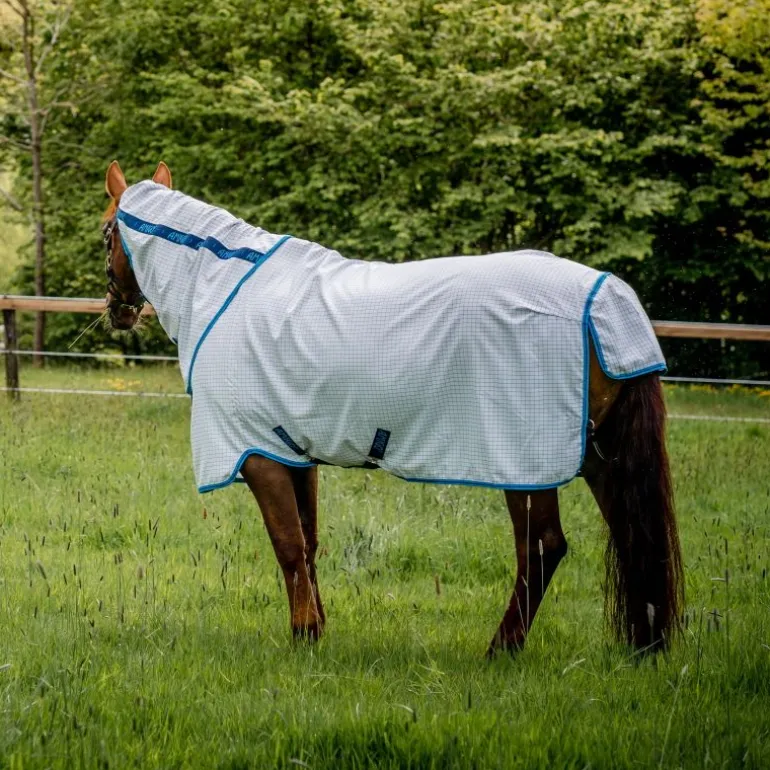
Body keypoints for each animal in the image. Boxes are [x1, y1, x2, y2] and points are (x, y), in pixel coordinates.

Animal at [101, 160, 684, 656]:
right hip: (600, 458)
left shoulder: (258, 454)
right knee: (631, 537)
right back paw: (643, 646)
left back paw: (501, 649)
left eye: (106, 231)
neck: (227, 289)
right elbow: (308, 544)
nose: (118, 312)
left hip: (525, 463)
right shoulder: (295, 453)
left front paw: (303, 635)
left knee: (542, 548)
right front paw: (318, 629)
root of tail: (604, 301)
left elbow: (287, 545)